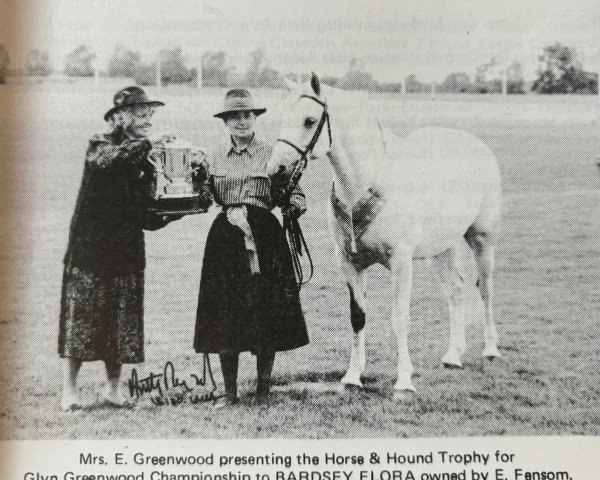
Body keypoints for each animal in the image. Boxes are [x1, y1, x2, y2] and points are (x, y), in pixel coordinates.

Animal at [268, 75, 502, 398]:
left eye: (309, 120)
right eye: (281, 118)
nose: (274, 172)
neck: (364, 184)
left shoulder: (401, 263)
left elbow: (399, 318)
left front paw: (404, 381)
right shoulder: (349, 262)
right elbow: (357, 317)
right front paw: (352, 376)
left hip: (482, 239)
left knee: (485, 289)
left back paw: (491, 349)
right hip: (441, 248)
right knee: (456, 289)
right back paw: (453, 355)